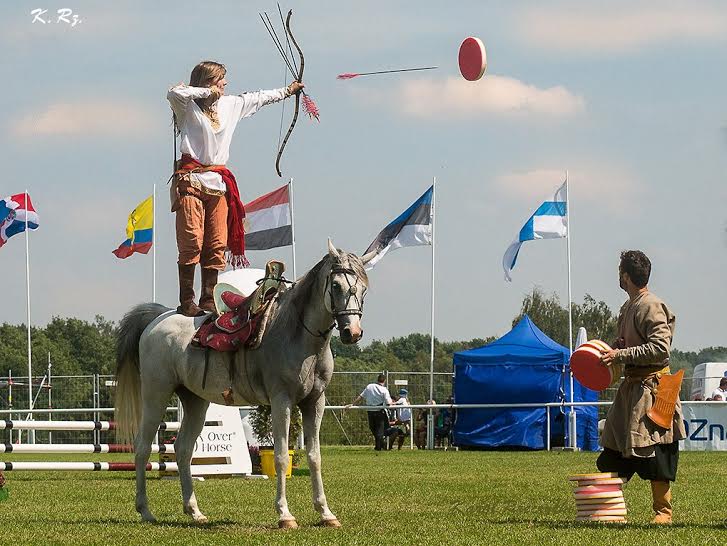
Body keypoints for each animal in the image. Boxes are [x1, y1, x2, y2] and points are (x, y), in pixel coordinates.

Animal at [118, 240, 376, 524]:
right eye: (336, 285)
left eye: (364, 288)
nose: (352, 332)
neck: (298, 336)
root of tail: (157, 318)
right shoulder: (281, 401)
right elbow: (281, 456)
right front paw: (285, 514)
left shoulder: (314, 403)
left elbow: (314, 457)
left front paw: (326, 513)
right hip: (156, 395)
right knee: (142, 448)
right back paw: (145, 510)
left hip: (195, 401)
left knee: (183, 450)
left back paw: (194, 511)